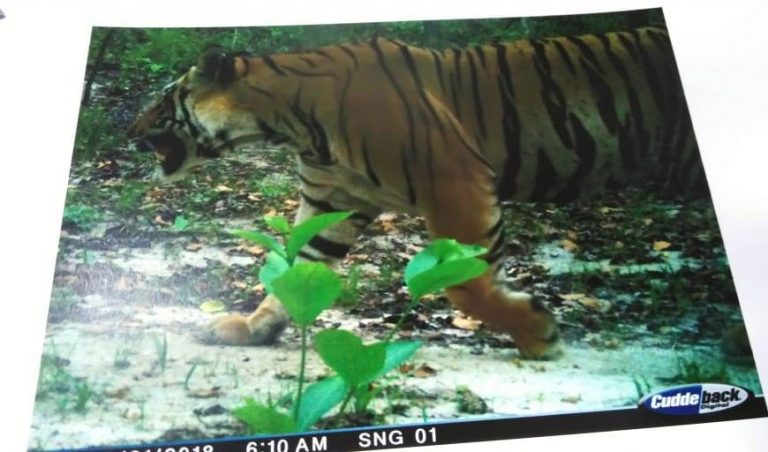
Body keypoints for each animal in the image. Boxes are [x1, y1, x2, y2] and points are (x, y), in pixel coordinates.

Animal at [127, 26, 704, 359]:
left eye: (162, 100)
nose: (128, 128)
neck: (288, 124)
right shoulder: (333, 200)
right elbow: (294, 270)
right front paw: (253, 329)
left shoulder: (455, 180)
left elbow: (468, 285)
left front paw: (538, 333)